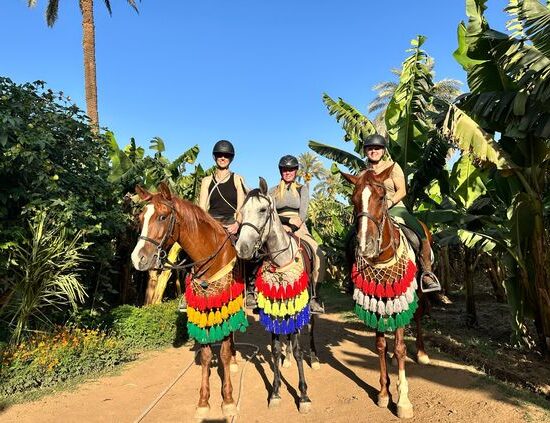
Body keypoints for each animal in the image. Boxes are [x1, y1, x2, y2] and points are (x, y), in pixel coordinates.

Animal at [130, 183, 247, 420]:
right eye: (140, 217)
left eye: (162, 217)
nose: (138, 259)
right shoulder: (202, 308)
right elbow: (205, 354)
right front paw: (203, 402)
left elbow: (222, 352)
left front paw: (228, 400)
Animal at [342, 166, 434, 420]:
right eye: (353, 199)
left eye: (382, 197)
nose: (366, 246)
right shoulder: (377, 299)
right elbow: (380, 345)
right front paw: (384, 393)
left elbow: (402, 347)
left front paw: (403, 400)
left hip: (420, 290)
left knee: (419, 316)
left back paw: (421, 353)